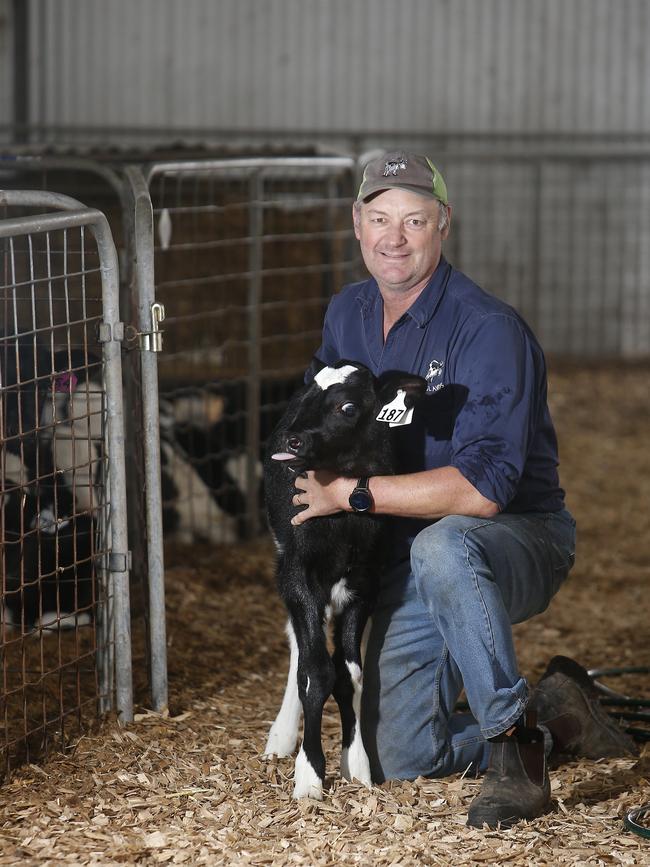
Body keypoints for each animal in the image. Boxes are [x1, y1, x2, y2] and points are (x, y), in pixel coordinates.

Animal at [264, 360, 426, 800]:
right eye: (307, 396)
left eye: (348, 407)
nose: (292, 439)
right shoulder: (298, 573)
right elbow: (316, 670)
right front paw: (309, 774)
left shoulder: (365, 581)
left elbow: (350, 673)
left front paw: (357, 763)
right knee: (298, 645)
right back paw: (281, 736)